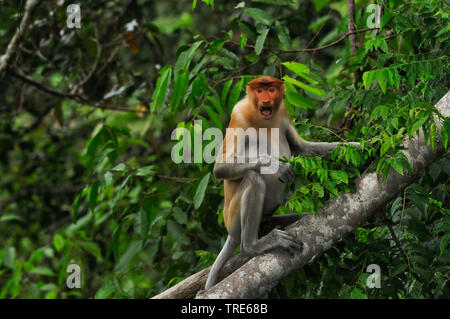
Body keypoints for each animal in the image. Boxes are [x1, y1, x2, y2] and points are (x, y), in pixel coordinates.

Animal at [206, 75, 360, 290]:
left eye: (271, 89)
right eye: (260, 90)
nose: (265, 101)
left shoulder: (283, 112)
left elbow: (301, 147)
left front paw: (365, 146)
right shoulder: (239, 115)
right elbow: (220, 168)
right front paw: (277, 166)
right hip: (234, 216)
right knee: (254, 178)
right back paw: (253, 245)